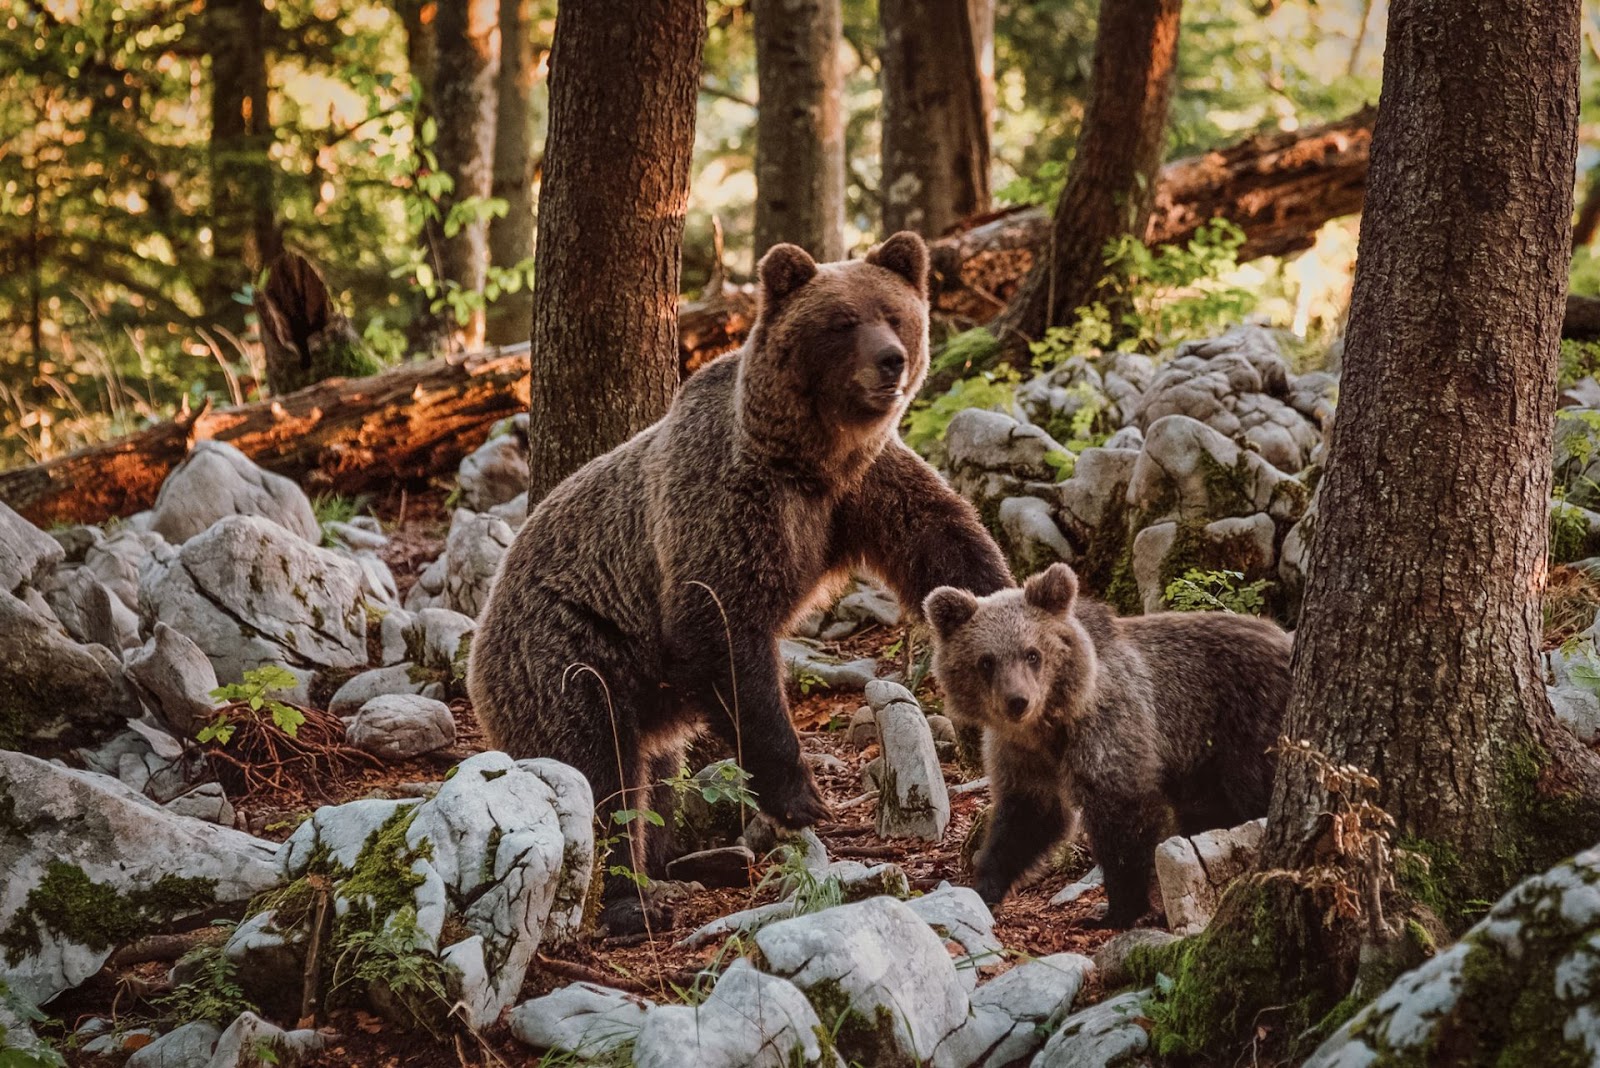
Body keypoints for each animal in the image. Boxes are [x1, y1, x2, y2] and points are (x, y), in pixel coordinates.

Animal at [467, 231, 1004, 927]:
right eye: (842, 322)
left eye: (894, 313)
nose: (891, 360)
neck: (809, 460)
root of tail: (482, 631)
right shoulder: (727, 505)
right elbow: (721, 630)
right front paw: (799, 796)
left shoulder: (864, 487)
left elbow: (945, 544)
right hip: (569, 652)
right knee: (597, 770)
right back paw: (631, 898)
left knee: (657, 774)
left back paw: (681, 865)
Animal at [928, 565, 1286, 927]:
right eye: (986, 661)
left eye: (1032, 654)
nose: (1017, 701)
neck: (1050, 726)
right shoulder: (1022, 755)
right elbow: (1027, 819)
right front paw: (983, 889)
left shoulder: (1110, 727)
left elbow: (1121, 815)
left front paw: (1116, 910)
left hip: (1248, 726)